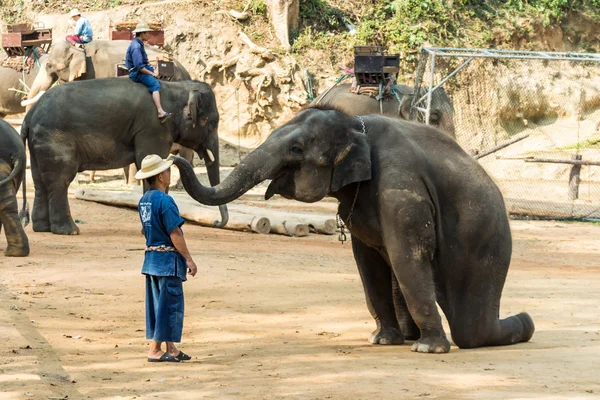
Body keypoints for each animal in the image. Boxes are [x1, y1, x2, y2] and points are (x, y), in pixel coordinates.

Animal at [171, 106, 536, 354]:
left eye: (296, 150)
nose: (175, 159)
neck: (355, 125)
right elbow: (367, 261)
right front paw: (383, 341)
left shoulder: (399, 183)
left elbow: (407, 254)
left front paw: (429, 349)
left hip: (485, 241)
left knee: (472, 328)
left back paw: (523, 323)